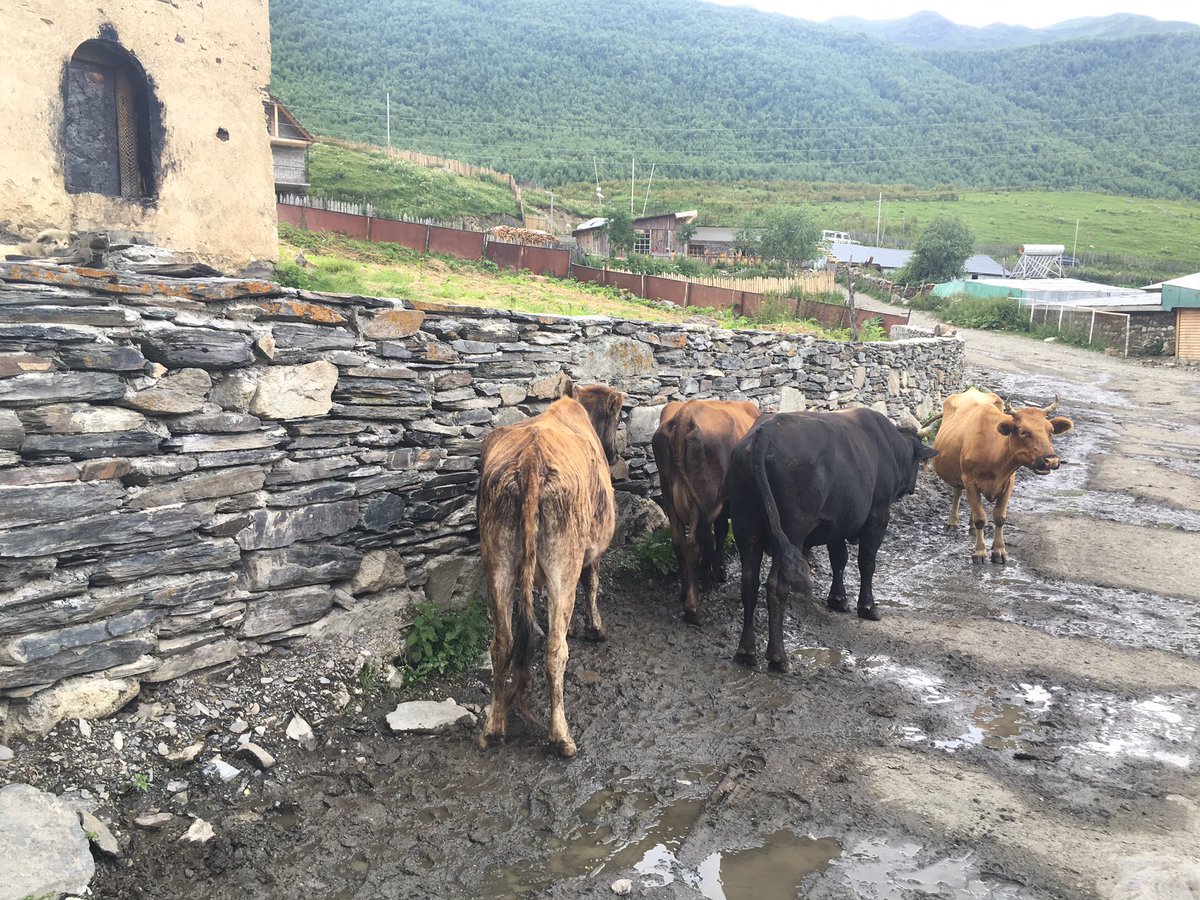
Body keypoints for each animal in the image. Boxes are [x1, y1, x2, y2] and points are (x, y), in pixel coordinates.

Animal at [477, 380, 626, 758]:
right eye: (618, 417)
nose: (617, 454)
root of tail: (531, 460)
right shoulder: (592, 548)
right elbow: (592, 583)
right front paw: (594, 628)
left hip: (497, 562)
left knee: (502, 642)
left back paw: (494, 728)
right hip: (563, 565)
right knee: (556, 650)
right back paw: (561, 736)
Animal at [652, 399, 760, 624]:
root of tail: (686, 412)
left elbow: (718, 532)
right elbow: (719, 532)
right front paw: (716, 572)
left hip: (670, 497)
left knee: (679, 543)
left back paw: (685, 591)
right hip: (702, 498)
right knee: (694, 546)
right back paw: (692, 607)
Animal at [727, 408, 938, 672]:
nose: (912, 487)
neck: (888, 446)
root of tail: (766, 430)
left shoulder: (837, 522)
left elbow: (839, 559)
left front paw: (838, 599)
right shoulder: (878, 515)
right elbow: (866, 563)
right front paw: (868, 607)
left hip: (746, 528)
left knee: (749, 583)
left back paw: (746, 651)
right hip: (791, 532)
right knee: (776, 586)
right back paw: (778, 657)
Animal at [932, 387, 1074, 564]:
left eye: (1051, 431)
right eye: (1023, 432)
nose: (1051, 460)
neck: (992, 450)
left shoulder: (1009, 481)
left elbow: (999, 517)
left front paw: (999, 550)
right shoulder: (969, 479)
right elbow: (980, 518)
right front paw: (980, 552)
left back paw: (971, 527)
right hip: (959, 474)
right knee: (957, 493)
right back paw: (952, 522)